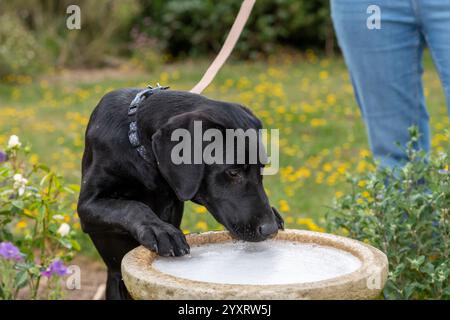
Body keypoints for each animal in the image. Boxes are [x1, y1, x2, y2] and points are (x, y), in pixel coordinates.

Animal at [76, 88, 282, 300]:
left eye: (262, 168)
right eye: (233, 172)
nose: (270, 229)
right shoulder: (87, 206)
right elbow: (132, 206)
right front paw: (160, 230)